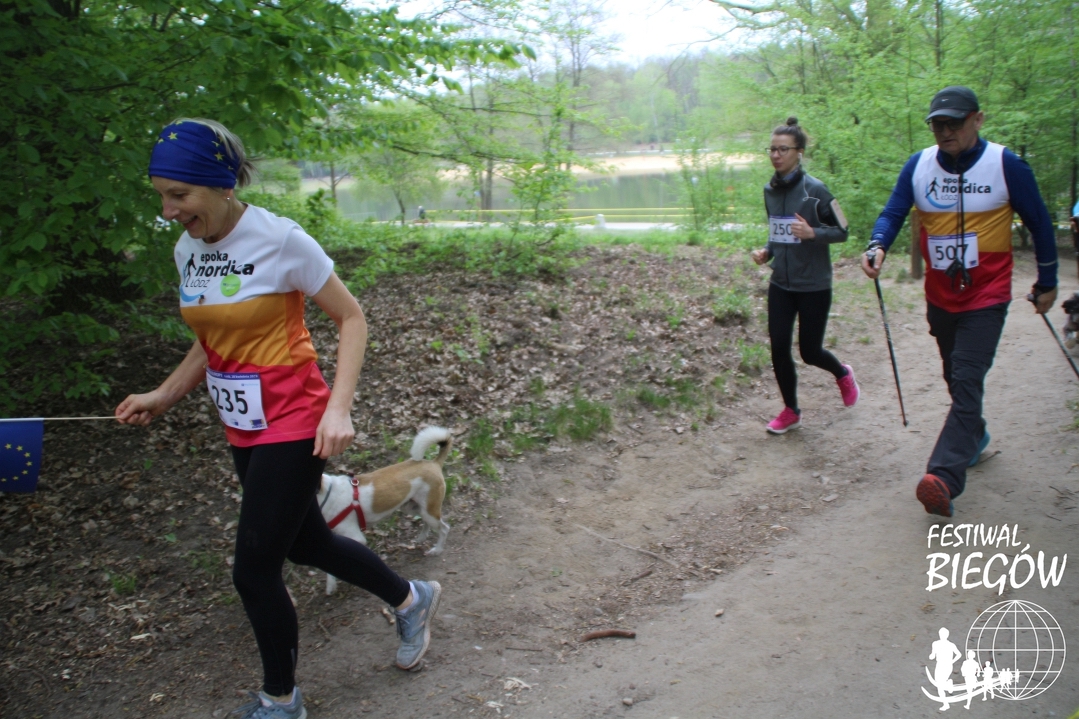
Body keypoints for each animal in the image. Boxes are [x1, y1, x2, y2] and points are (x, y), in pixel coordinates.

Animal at [317, 426, 453, 595]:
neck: (327, 493)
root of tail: (434, 463)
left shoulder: (356, 538)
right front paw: (331, 585)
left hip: (429, 511)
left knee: (444, 529)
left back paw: (437, 549)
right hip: (414, 507)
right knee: (428, 524)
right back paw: (421, 538)